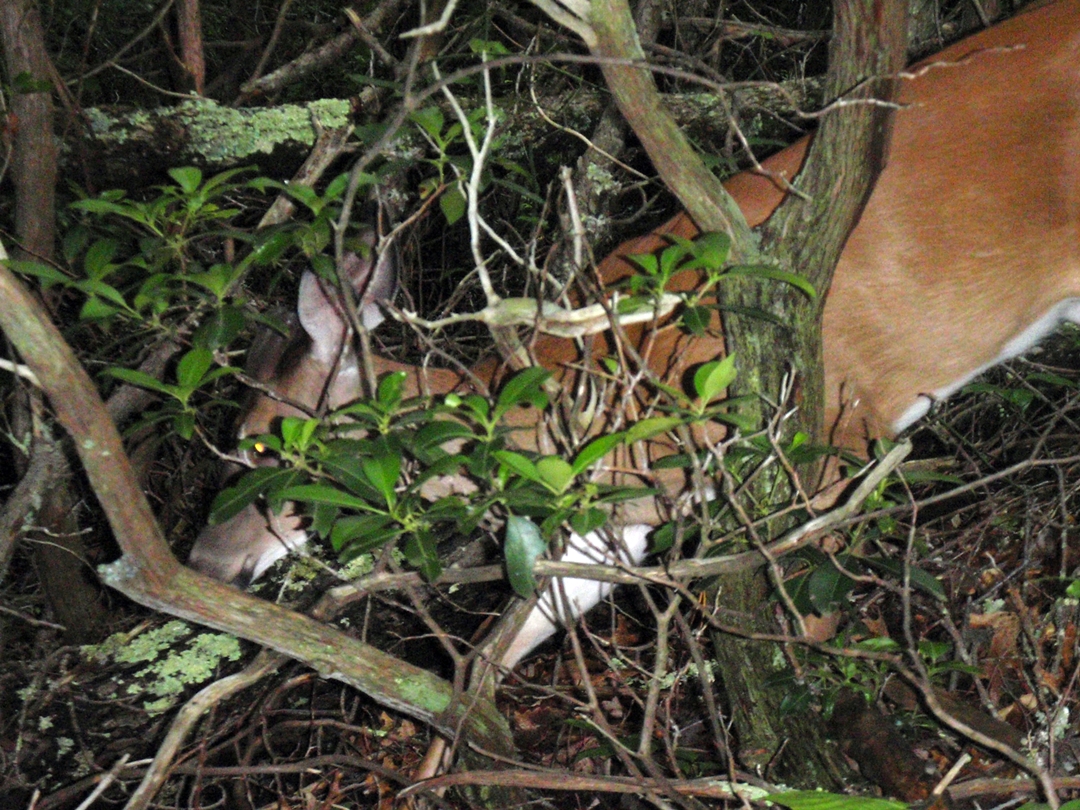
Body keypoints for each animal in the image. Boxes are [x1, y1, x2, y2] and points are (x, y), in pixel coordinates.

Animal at [190, 0, 1080, 678]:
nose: (202, 563)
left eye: (257, 443)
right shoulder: (616, 518)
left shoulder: (828, 437)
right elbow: (486, 655)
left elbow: (809, 624)